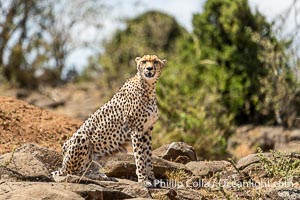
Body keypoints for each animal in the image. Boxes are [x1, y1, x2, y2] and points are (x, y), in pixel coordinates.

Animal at [53, 54, 166, 186]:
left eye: (155, 62)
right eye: (144, 61)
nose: (149, 68)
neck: (148, 87)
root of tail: (62, 165)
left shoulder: (147, 130)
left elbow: (148, 156)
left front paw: (152, 179)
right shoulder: (136, 130)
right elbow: (140, 157)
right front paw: (143, 180)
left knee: (86, 169)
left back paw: (101, 176)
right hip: (82, 138)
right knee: (74, 173)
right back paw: (97, 176)